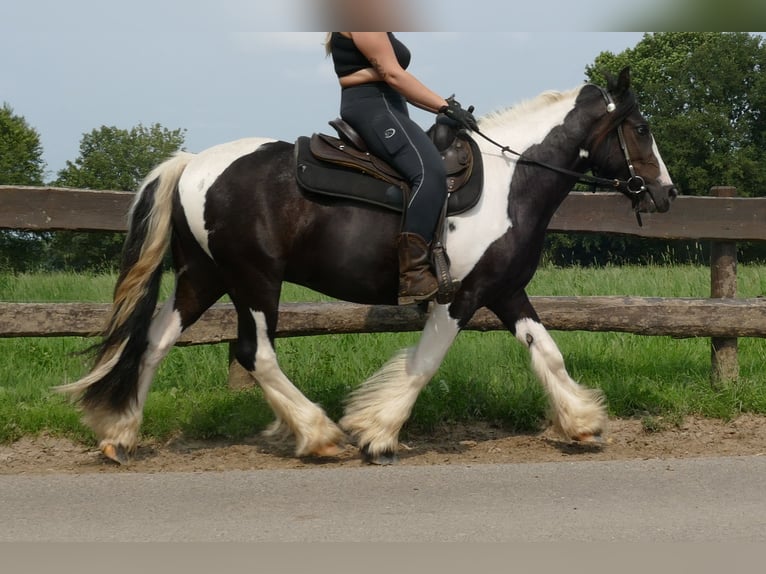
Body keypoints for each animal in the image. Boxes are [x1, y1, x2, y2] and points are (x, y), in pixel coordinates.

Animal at [58, 65, 680, 466]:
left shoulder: (505, 292)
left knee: (155, 341)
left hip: (203, 278)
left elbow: (547, 353)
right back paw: (318, 435)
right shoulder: (462, 295)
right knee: (255, 353)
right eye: (642, 129)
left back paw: (119, 435)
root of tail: (192, 164)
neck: (512, 181)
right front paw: (377, 434)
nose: (666, 193)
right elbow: (426, 362)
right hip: (254, 280)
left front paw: (583, 423)